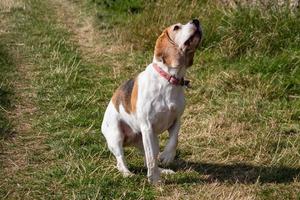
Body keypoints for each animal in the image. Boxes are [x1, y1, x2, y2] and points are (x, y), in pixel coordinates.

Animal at [102, 19, 203, 184]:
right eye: (176, 27)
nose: (196, 21)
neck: (168, 79)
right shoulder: (148, 126)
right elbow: (150, 159)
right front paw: (155, 180)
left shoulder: (176, 119)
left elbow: (173, 140)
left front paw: (167, 157)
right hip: (117, 136)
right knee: (122, 160)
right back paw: (128, 173)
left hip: (149, 139)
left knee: (149, 157)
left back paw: (164, 170)